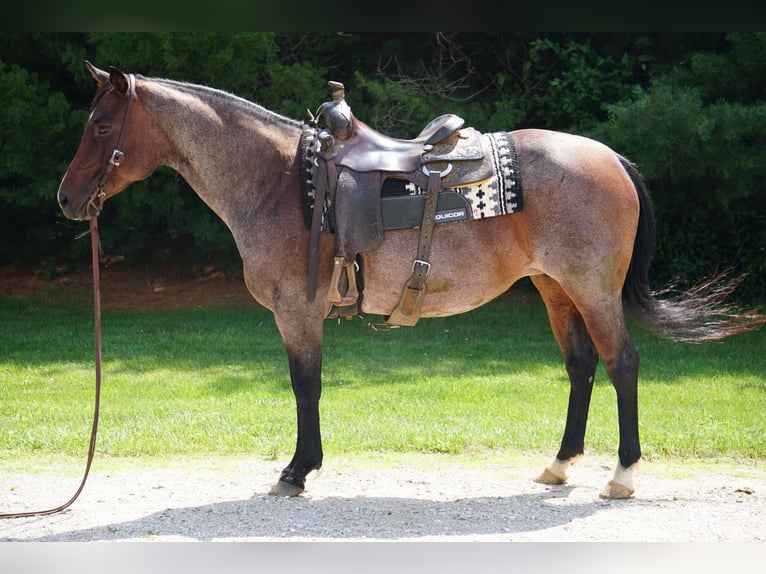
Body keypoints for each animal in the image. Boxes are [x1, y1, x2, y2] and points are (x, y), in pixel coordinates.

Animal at [57, 62, 764, 499]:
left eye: (101, 125)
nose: (66, 199)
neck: (279, 181)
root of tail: (610, 156)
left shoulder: (297, 312)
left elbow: (305, 387)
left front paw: (298, 470)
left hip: (591, 291)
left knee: (622, 364)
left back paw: (622, 475)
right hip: (555, 289)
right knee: (582, 366)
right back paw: (560, 464)